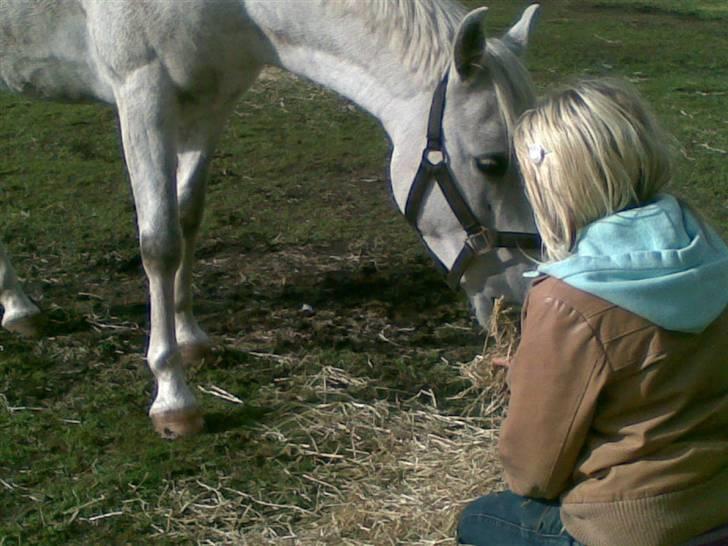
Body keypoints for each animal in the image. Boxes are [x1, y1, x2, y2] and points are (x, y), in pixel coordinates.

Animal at [1, 0, 540, 434]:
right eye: (492, 162)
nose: (521, 302)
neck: (237, 9)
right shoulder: (142, 94)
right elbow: (160, 244)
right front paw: (172, 396)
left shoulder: (210, 105)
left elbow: (188, 217)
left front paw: (189, 335)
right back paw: (19, 306)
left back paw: (18, 306)